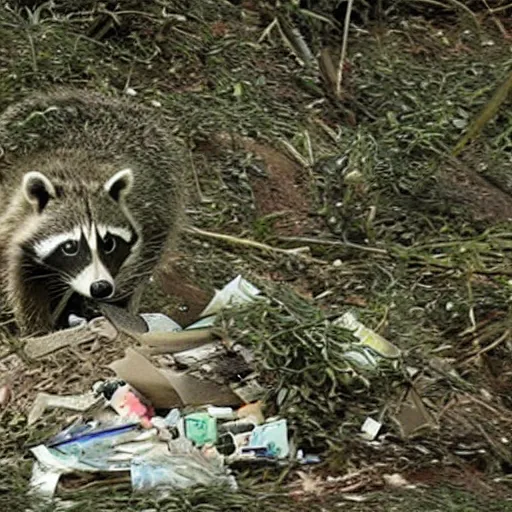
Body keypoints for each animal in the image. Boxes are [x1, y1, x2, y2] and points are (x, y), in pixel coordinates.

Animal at [0, 88, 186, 336]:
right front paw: (38, 328)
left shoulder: (152, 220)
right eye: (70, 246)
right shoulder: (14, 231)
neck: (82, 179)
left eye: (109, 243)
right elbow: (26, 291)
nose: (100, 288)